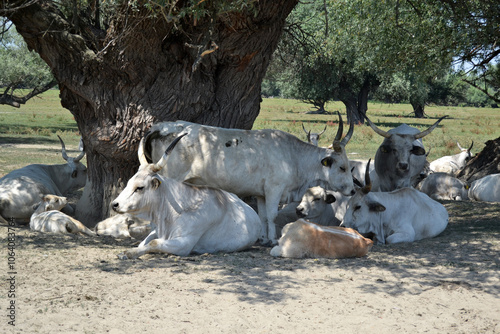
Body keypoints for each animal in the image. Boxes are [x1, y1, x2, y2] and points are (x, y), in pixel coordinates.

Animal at [113, 134, 262, 260]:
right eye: (129, 182)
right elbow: (143, 242)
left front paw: (128, 253)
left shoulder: (183, 243)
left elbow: (153, 243)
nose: (115, 204)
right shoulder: (157, 231)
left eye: (139, 187)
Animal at [139, 111, 354, 243]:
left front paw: (264, 238)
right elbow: (272, 215)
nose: (352, 190)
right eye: (342, 167)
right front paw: (273, 239)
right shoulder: (274, 189)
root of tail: (160, 127)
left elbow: (263, 215)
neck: (293, 156)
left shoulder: (261, 193)